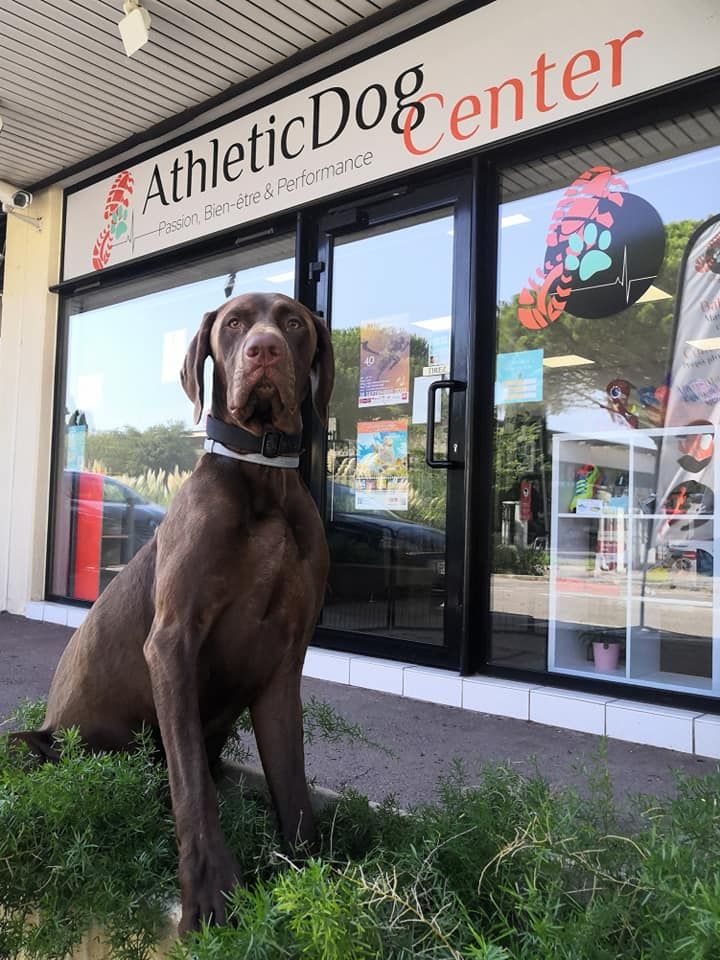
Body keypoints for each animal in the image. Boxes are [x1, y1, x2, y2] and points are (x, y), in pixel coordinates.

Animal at [14, 290, 334, 928]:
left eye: (292, 321)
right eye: (234, 323)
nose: (264, 350)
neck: (263, 478)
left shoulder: (284, 665)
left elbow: (293, 786)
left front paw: (315, 884)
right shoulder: (172, 641)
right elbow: (191, 784)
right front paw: (211, 892)